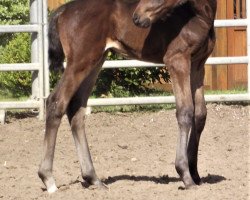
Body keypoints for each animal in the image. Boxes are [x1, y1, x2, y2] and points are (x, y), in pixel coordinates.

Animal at [38, 0, 217, 193]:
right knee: (56, 102)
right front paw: (185, 175)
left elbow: (200, 114)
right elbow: (185, 112)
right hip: (80, 61)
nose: (137, 17)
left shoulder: (198, 65)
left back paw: (93, 178)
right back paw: (48, 178)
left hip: (95, 60)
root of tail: (63, 10)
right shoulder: (177, 60)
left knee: (76, 110)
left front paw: (195, 174)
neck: (198, 16)